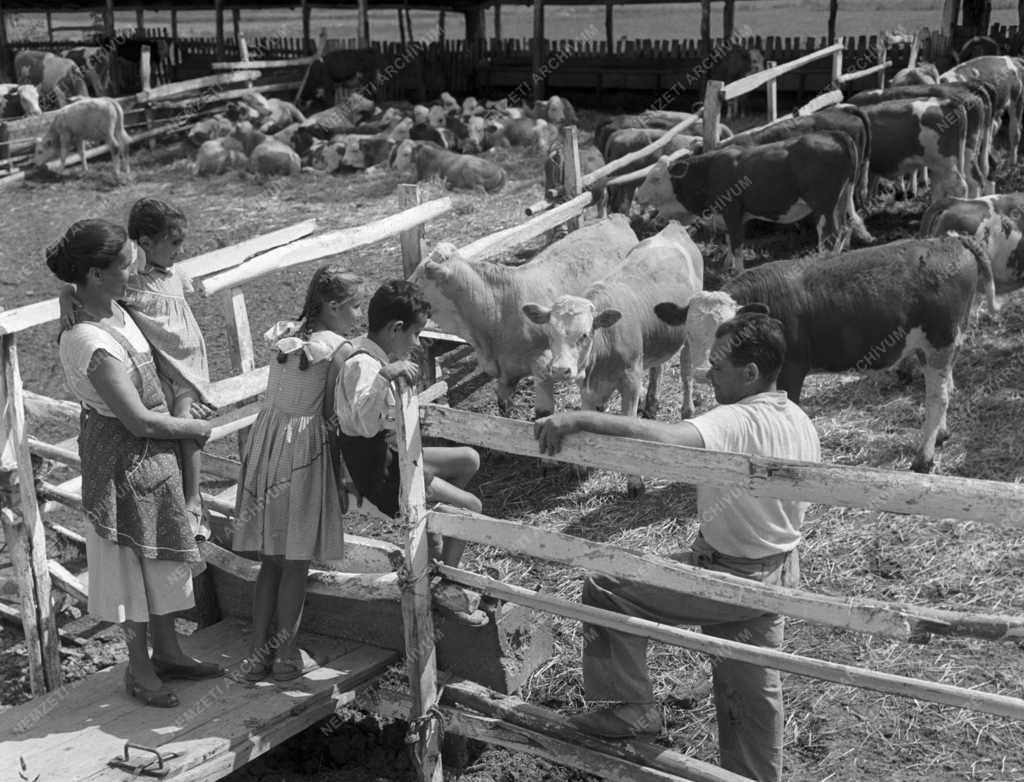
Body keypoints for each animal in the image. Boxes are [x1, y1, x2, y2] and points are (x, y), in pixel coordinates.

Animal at [520, 221, 704, 495]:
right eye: (550, 334)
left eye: (585, 335)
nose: (561, 370)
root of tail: (673, 228)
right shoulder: (586, 385)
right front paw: (581, 467)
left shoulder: (630, 379)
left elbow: (629, 427)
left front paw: (635, 481)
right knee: (658, 367)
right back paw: (651, 403)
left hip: (689, 333)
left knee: (686, 368)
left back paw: (687, 408)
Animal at [630, 130, 856, 272]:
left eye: (655, 178)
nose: (637, 196)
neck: (709, 172)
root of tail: (835, 134)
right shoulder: (733, 215)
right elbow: (730, 241)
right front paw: (726, 265)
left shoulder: (732, 211)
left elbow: (737, 243)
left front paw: (737, 271)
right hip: (841, 201)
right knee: (844, 229)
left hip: (824, 206)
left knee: (831, 234)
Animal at [655, 235, 991, 472]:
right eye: (690, 333)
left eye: (728, 334)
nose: (702, 371)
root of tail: (949, 241)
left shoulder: (791, 369)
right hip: (933, 345)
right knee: (945, 386)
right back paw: (941, 434)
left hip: (940, 341)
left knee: (938, 397)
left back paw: (924, 457)